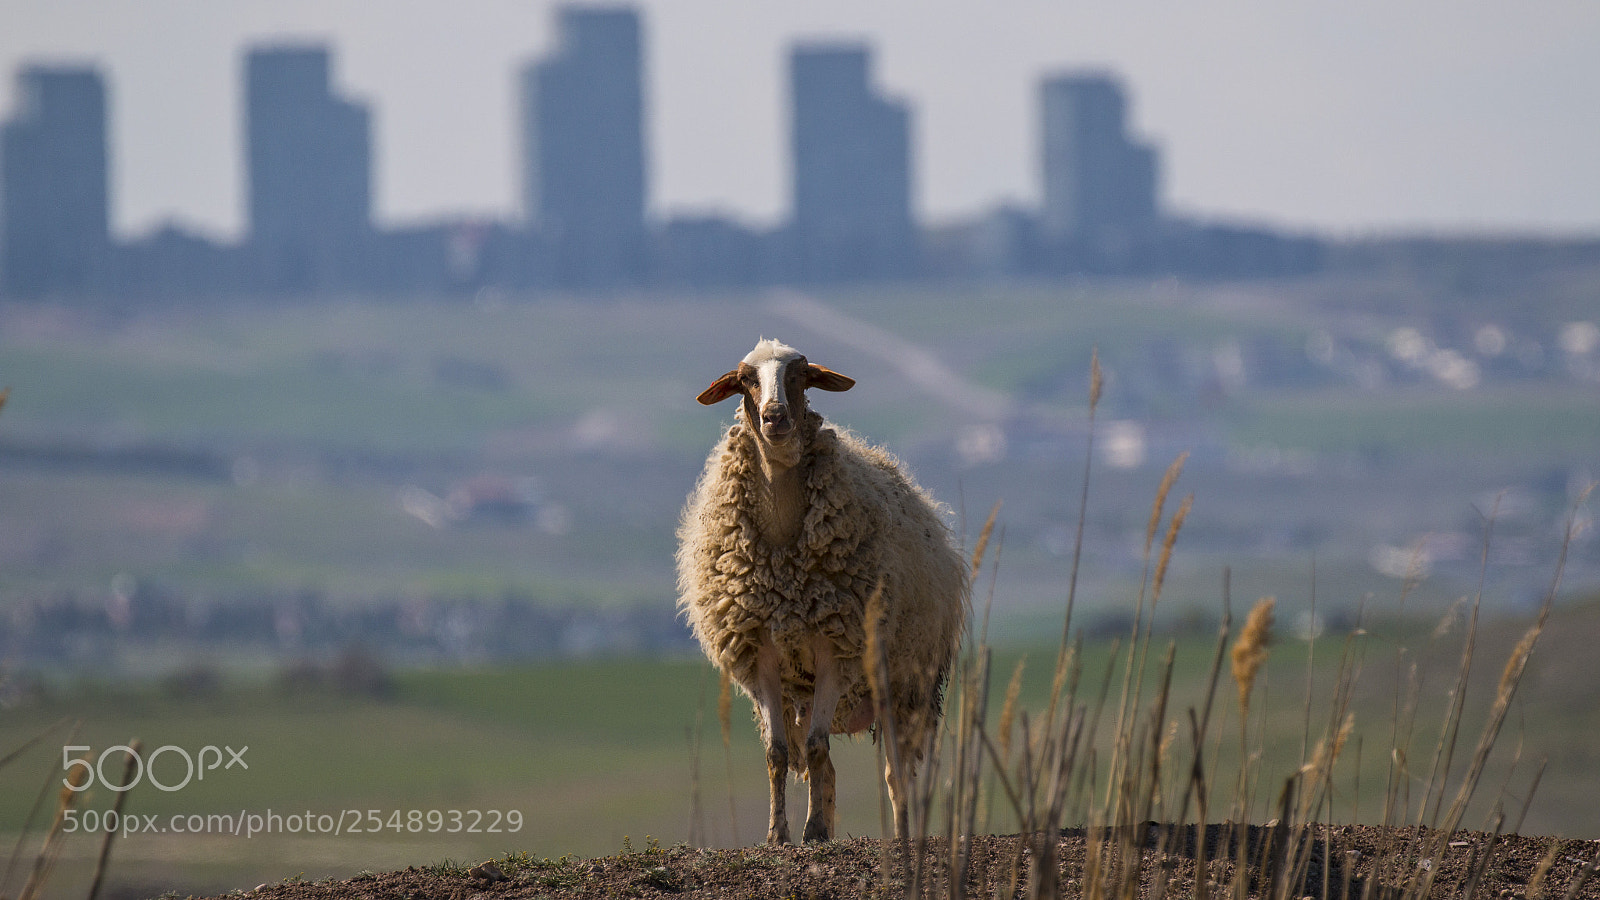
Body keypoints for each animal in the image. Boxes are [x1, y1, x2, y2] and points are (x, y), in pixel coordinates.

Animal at [676, 338, 968, 844]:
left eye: (801, 376)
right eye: (745, 380)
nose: (774, 417)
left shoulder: (838, 648)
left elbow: (814, 746)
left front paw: (811, 831)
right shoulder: (762, 655)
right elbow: (779, 753)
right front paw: (779, 835)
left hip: (901, 683)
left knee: (896, 774)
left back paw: (902, 835)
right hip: (811, 688)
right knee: (830, 768)